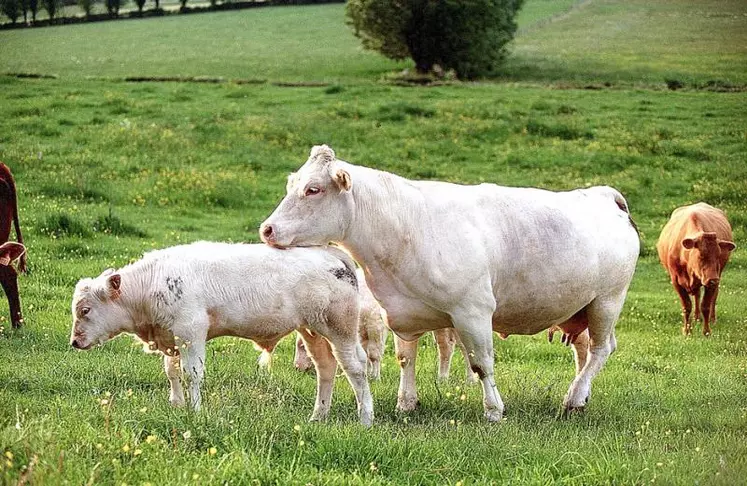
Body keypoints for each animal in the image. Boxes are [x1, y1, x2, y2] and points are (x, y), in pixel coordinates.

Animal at [69, 242, 374, 426]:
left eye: (85, 310)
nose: (74, 342)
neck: (153, 282)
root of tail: (330, 253)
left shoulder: (191, 333)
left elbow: (192, 374)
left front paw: (194, 410)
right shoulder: (171, 337)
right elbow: (171, 371)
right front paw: (176, 404)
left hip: (340, 331)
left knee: (355, 369)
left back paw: (365, 418)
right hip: (312, 331)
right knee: (326, 368)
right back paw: (318, 416)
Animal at [260, 144, 640, 422]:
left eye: (313, 189)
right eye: (292, 185)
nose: (267, 229)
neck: (403, 228)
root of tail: (604, 195)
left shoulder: (473, 312)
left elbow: (481, 363)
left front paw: (494, 411)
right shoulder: (402, 313)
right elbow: (405, 359)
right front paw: (406, 402)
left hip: (607, 301)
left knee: (601, 349)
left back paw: (574, 397)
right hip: (580, 306)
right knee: (584, 351)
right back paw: (580, 394)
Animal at [656, 203, 732, 336]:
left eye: (718, 255)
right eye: (701, 255)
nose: (713, 279)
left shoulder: (711, 281)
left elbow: (705, 306)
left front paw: (706, 332)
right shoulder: (676, 281)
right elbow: (687, 306)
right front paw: (687, 331)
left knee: (713, 296)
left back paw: (712, 319)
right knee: (697, 295)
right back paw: (696, 318)